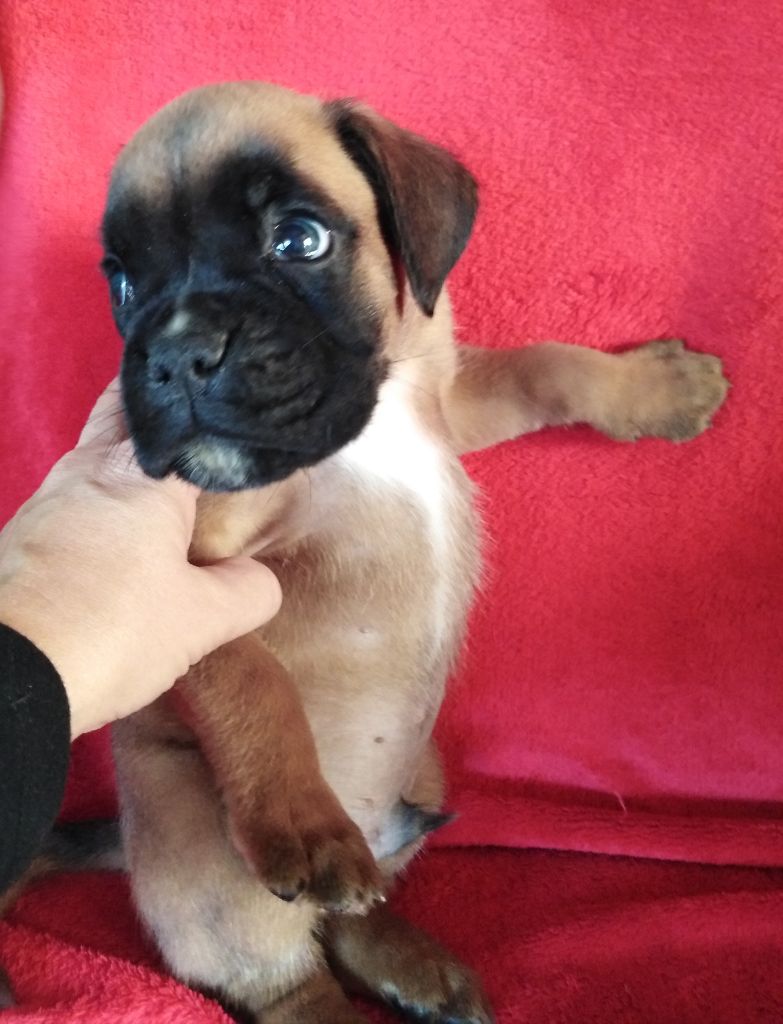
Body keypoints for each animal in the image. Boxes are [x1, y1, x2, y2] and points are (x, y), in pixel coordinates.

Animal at [3, 82, 729, 1022]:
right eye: (125, 282)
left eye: (298, 240)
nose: (174, 356)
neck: (365, 428)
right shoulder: (191, 561)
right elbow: (247, 674)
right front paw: (304, 821)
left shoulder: (452, 403)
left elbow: (545, 367)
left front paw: (656, 387)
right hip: (217, 875)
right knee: (290, 982)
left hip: (428, 774)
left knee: (356, 916)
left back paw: (414, 965)